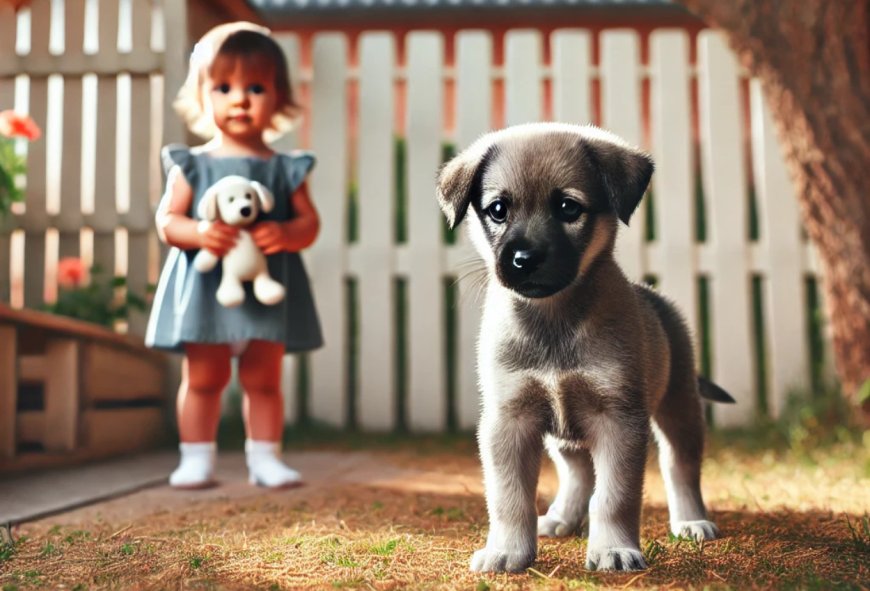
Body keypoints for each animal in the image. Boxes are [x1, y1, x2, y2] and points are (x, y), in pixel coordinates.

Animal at [193, 173, 286, 308]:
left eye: (248, 196)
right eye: (231, 200)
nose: (246, 210)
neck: (242, 227)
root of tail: (247, 277)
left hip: (262, 272)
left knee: (263, 281)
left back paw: (271, 292)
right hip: (231, 276)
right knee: (232, 287)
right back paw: (231, 296)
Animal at [436, 123, 736, 572]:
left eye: (568, 207)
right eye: (498, 209)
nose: (524, 259)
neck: (552, 323)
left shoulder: (618, 420)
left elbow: (615, 497)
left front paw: (612, 548)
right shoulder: (510, 421)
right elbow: (509, 499)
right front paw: (508, 550)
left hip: (679, 410)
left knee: (680, 468)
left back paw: (691, 521)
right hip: (564, 437)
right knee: (579, 473)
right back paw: (561, 517)